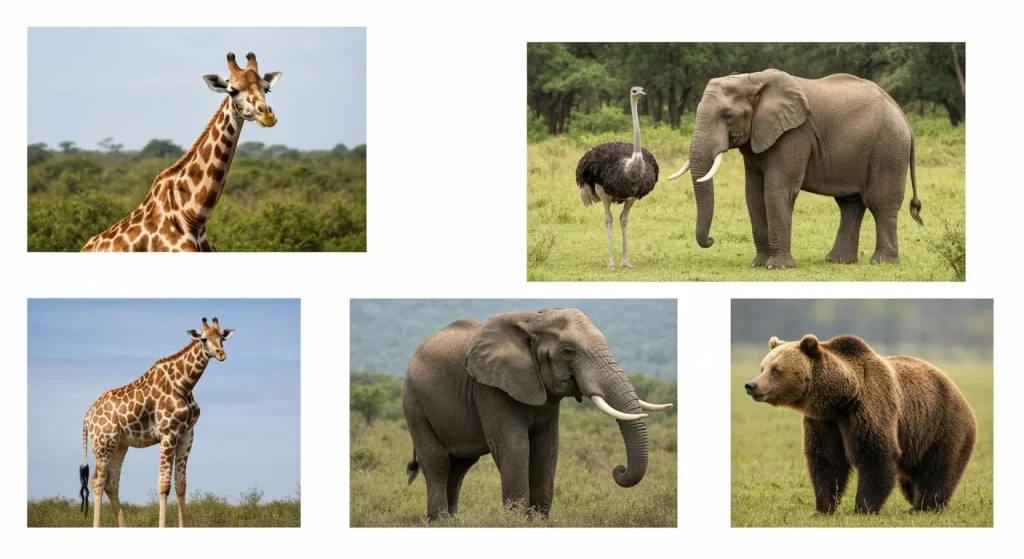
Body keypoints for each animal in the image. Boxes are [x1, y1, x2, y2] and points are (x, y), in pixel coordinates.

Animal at [402, 308, 672, 521]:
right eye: (568, 352)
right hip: (415, 403)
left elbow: (547, 448)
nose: (618, 469)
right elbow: (514, 447)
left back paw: (451, 521)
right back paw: (439, 520)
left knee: (460, 466)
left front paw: (537, 521)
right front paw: (515, 522)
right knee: (437, 461)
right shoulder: (491, 388)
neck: (533, 320)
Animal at [668, 69, 923, 269]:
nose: (711, 240)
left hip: (888, 149)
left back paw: (882, 262)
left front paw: (778, 267)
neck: (752, 80)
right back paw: (838, 261)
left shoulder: (794, 135)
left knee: (881, 203)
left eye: (727, 115)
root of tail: (903, 117)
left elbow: (776, 190)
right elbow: (753, 194)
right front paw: (758, 264)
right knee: (850, 205)